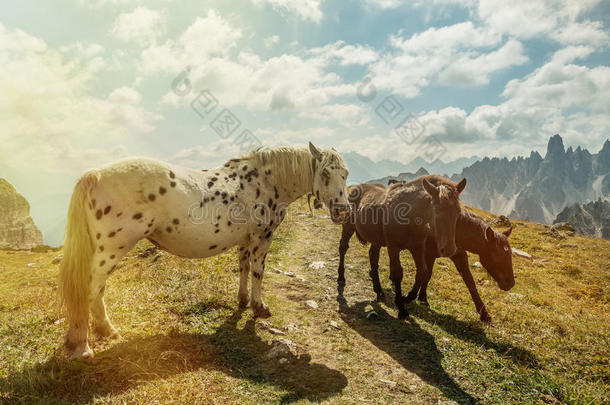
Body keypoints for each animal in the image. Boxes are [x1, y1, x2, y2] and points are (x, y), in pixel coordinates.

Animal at [61, 142, 350, 356]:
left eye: (345, 174)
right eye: (326, 173)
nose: (343, 211)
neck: (266, 181)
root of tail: (95, 174)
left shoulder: (245, 240)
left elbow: (244, 268)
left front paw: (243, 301)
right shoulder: (262, 237)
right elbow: (258, 271)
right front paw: (259, 307)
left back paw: (104, 333)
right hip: (110, 251)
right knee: (90, 290)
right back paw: (85, 346)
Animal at [338, 177, 512, 322]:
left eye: (458, 213)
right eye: (497, 255)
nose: (510, 284)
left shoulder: (442, 253)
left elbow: (459, 279)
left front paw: (484, 313)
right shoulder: (412, 250)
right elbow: (409, 273)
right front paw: (406, 302)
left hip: (377, 240)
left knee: (373, 256)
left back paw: (379, 290)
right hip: (349, 226)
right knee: (343, 248)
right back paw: (341, 278)